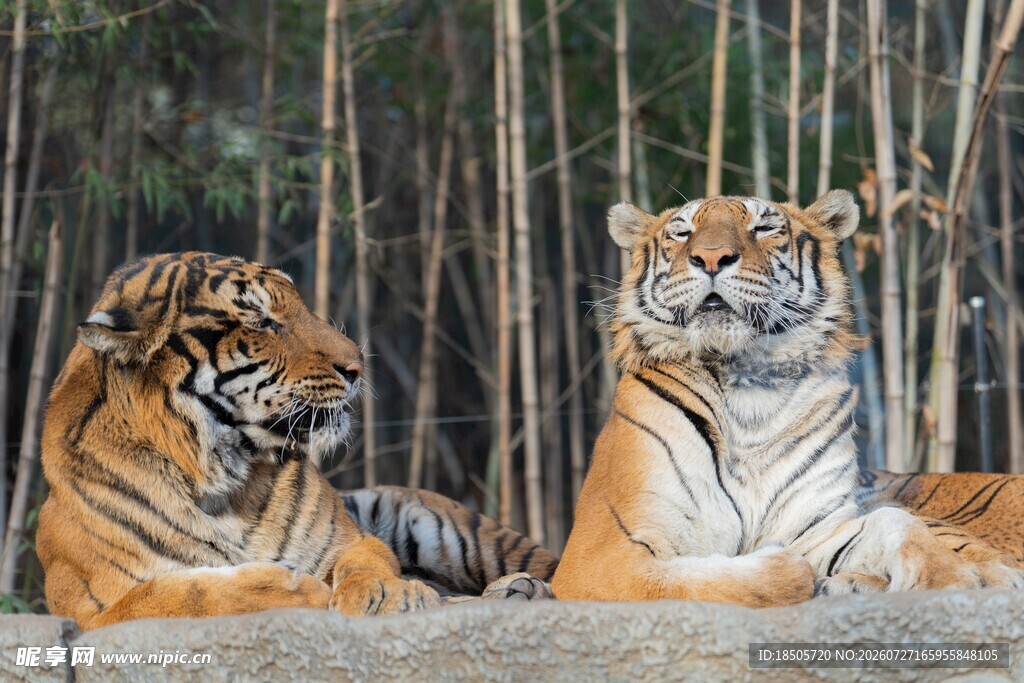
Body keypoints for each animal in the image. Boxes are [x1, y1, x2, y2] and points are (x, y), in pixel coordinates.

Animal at [37, 252, 555, 630]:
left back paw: (522, 588)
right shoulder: (88, 608)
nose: (357, 366)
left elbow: (368, 561)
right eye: (261, 322)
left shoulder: (350, 539)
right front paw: (295, 588)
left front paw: (386, 593)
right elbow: (181, 593)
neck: (222, 478)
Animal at [550, 191, 1024, 607]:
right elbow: (734, 577)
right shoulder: (598, 558)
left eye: (763, 228)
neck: (749, 386)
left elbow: (895, 524)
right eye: (682, 233)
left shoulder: (815, 526)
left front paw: (954, 579)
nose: (711, 258)